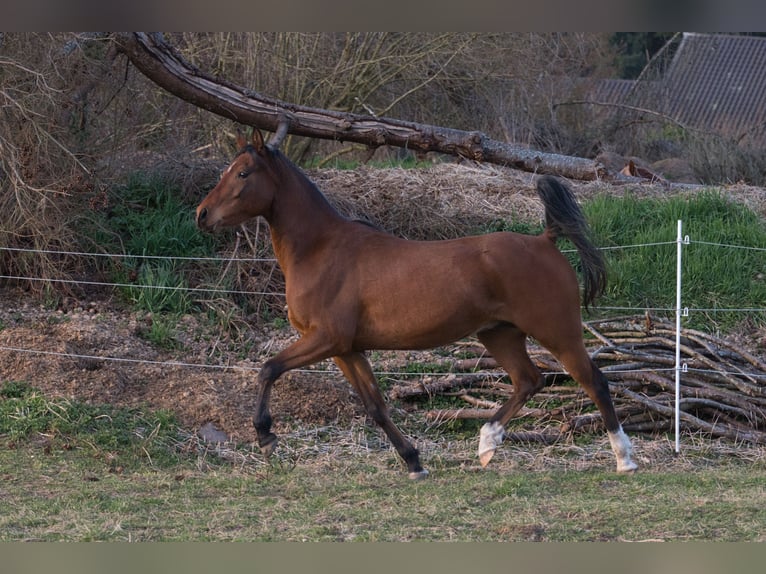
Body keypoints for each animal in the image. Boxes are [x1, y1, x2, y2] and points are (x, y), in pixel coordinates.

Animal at [196, 129, 638, 479]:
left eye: (243, 173)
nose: (202, 215)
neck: (320, 250)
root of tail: (545, 240)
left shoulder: (325, 340)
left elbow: (268, 369)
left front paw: (265, 435)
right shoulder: (347, 349)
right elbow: (375, 406)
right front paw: (414, 462)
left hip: (557, 331)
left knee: (594, 381)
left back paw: (625, 460)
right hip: (499, 335)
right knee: (529, 381)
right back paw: (487, 444)